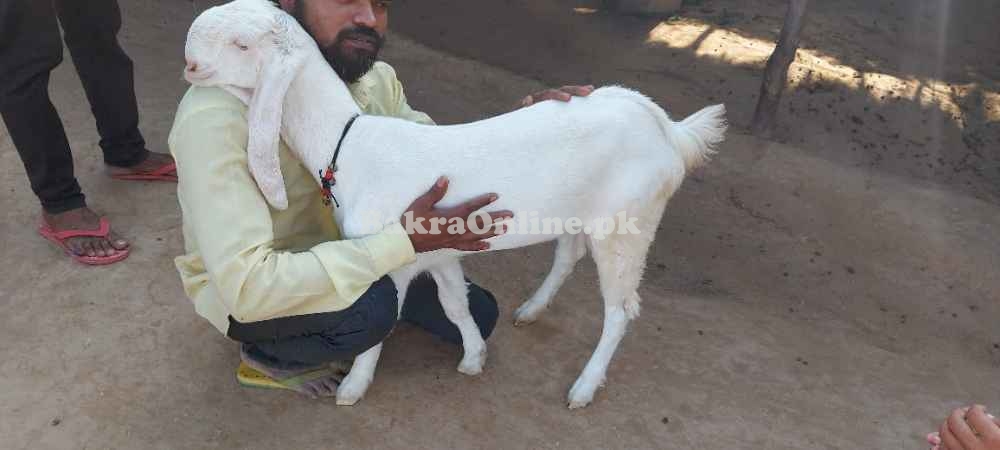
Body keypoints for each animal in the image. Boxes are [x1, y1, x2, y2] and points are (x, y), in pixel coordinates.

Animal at [182, 0, 728, 410]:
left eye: (243, 44)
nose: (189, 63)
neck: (349, 143)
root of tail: (667, 128)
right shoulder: (437, 252)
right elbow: (455, 303)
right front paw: (473, 357)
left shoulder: (395, 260)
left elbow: (385, 321)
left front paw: (354, 386)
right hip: (583, 211)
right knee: (568, 255)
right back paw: (531, 309)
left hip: (627, 224)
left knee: (620, 310)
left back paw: (584, 386)